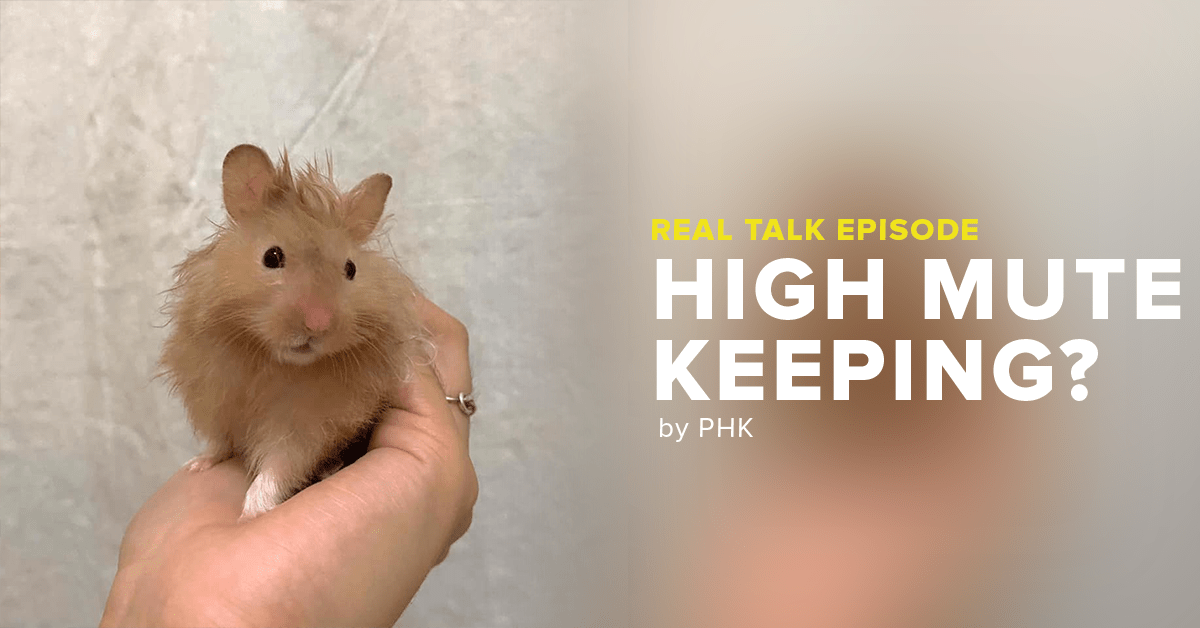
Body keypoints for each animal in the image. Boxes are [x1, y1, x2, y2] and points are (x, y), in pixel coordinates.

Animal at [160, 144, 425, 520]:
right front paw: (196, 466)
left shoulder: (306, 428)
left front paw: (251, 513)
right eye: (272, 257)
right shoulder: (217, 399)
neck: (271, 363)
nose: (318, 323)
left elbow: (277, 468)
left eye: (350, 269)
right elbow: (218, 442)